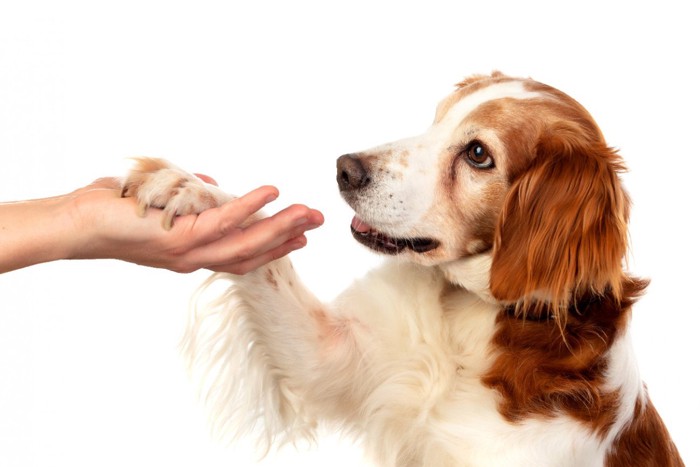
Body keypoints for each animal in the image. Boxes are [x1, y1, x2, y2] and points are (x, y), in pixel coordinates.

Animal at [121, 71, 684, 466]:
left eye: (478, 153)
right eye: (437, 120)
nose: (345, 169)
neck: (466, 317)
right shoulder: (331, 355)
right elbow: (266, 249)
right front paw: (189, 189)